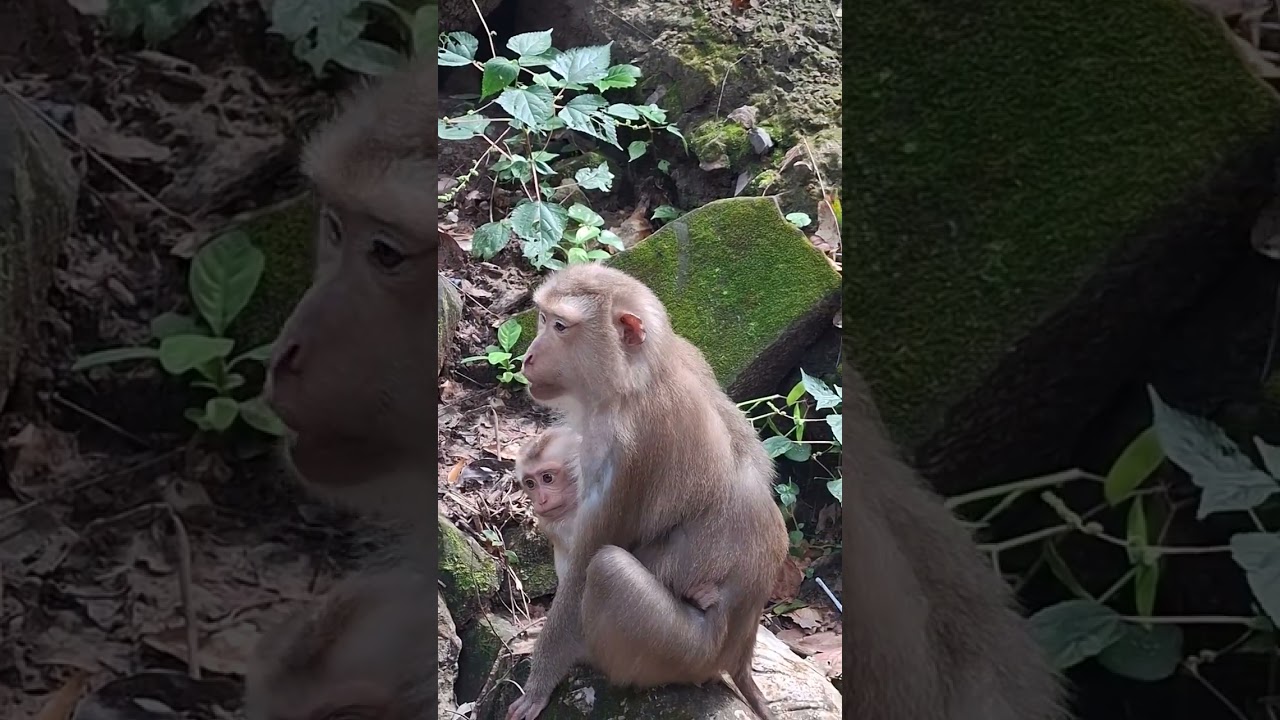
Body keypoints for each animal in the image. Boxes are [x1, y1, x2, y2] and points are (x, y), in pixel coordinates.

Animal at [505, 264, 789, 720]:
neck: (635, 379)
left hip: (681, 654)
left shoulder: (624, 447)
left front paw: (538, 683)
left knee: (607, 570)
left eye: (560, 326)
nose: (528, 356)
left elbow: (585, 565)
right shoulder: (691, 353)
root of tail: (739, 654)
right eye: (543, 318)